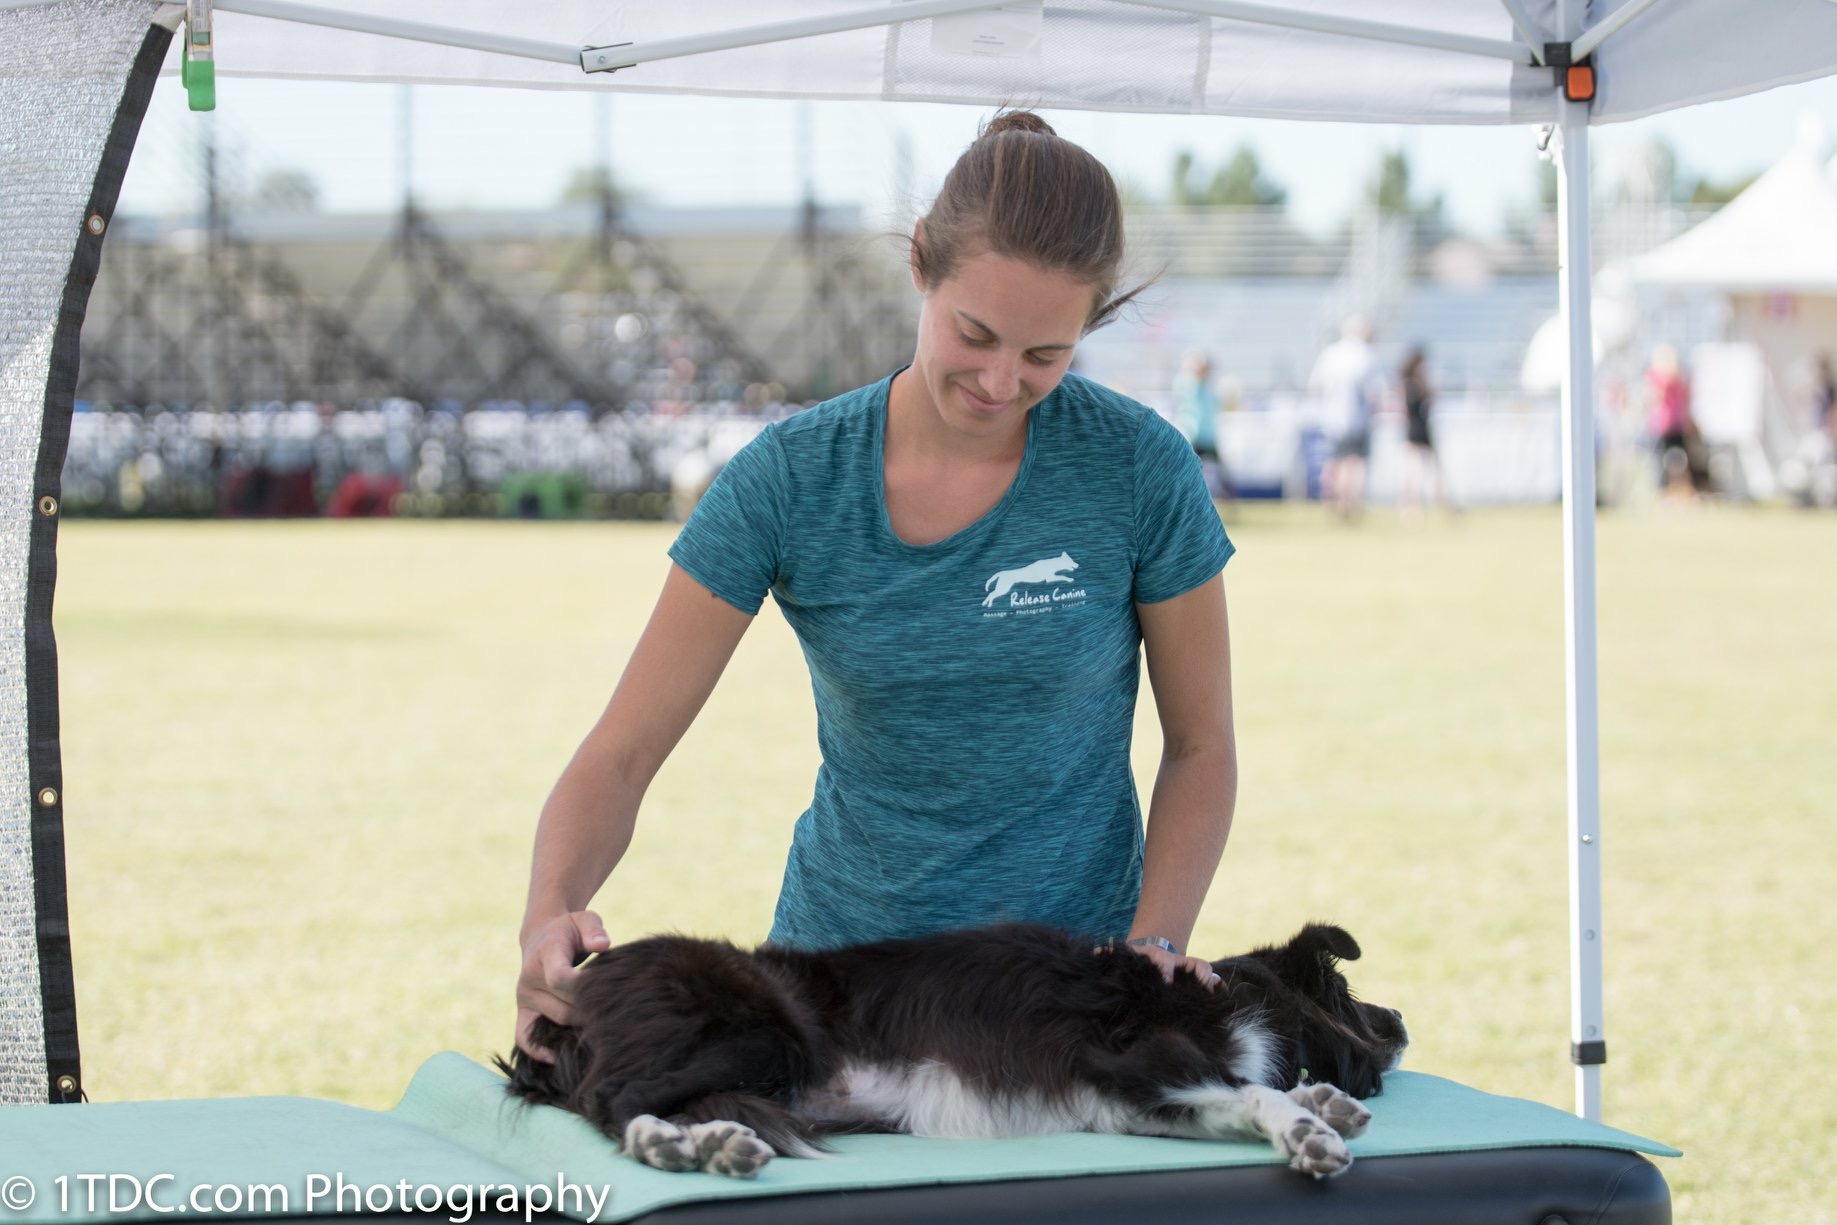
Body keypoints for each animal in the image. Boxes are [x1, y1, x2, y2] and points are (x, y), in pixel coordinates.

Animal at [503, 925, 1403, 1182]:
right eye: (1348, 989)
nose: (1397, 1015)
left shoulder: (1137, 1107)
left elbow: (1244, 1094)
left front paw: (1323, 1103)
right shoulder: (1131, 1066)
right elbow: (1256, 1091)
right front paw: (1309, 1130)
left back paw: (714, 1141)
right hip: (759, 1030)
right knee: (614, 1102)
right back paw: (673, 1146)